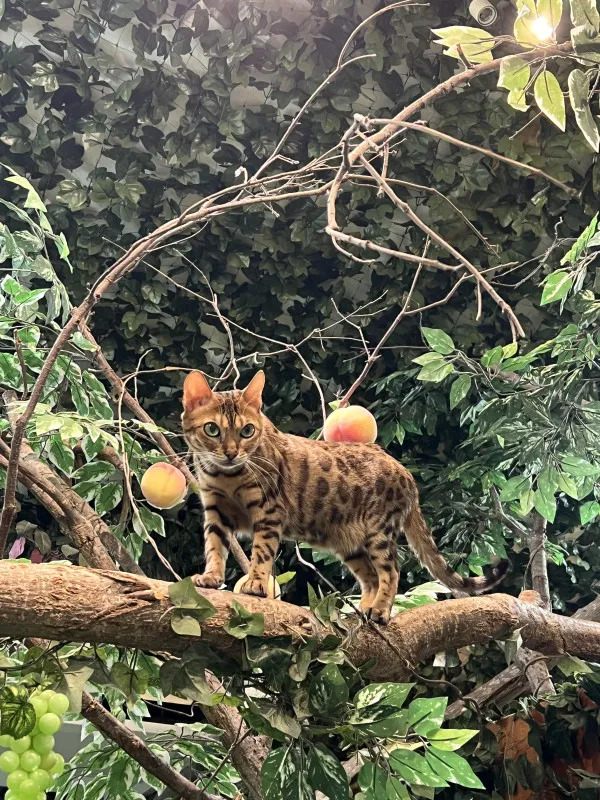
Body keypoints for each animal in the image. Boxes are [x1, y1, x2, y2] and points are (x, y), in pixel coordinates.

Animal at [180, 370, 508, 624]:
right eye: (212, 429)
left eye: (247, 431)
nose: (231, 452)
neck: (226, 477)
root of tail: (406, 474)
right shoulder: (215, 510)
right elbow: (214, 547)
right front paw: (211, 577)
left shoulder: (269, 511)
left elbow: (261, 552)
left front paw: (256, 583)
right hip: (349, 544)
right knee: (372, 578)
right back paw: (362, 608)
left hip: (379, 532)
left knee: (392, 572)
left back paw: (379, 611)